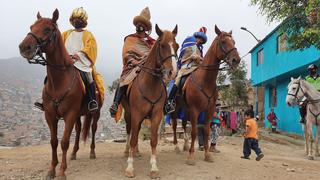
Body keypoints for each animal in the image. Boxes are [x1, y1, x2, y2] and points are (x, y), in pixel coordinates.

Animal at [18, 9, 102, 179]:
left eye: (47, 29)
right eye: (31, 26)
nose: (24, 47)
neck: (59, 81)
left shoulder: (69, 114)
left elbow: (64, 142)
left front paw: (62, 171)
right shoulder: (50, 115)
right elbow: (54, 142)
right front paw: (52, 169)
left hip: (95, 113)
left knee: (93, 128)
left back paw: (91, 152)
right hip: (78, 114)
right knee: (79, 129)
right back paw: (74, 153)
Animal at [121, 24, 179, 179]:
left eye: (176, 46)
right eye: (162, 45)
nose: (172, 72)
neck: (150, 84)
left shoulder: (156, 114)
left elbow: (153, 140)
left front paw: (153, 168)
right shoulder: (136, 114)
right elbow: (133, 138)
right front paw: (129, 167)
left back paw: (137, 152)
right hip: (129, 114)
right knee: (130, 132)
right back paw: (128, 151)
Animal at [170, 25, 240, 165]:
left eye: (234, 42)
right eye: (223, 42)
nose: (236, 60)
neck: (205, 80)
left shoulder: (209, 110)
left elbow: (207, 131)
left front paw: (207, 155)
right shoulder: (195, 110)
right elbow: (195, 132)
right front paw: (191, 156)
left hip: (184, 109)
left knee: (184, 123)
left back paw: (185, 145)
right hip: (176, 108)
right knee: (175, 125)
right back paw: (176, 146)